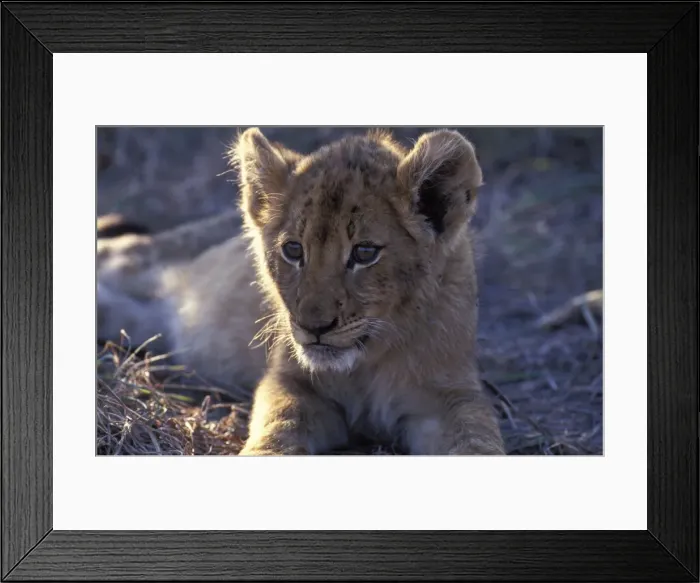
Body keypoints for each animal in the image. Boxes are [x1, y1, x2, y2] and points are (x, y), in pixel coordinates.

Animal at [97, 127, 505, 455]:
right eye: (294, 250)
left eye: (365, 253)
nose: (314, 327)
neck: (368, 360)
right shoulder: (291, 380)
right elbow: (280, 422)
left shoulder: (451, 394)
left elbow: (477, 437)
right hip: (143, 262)